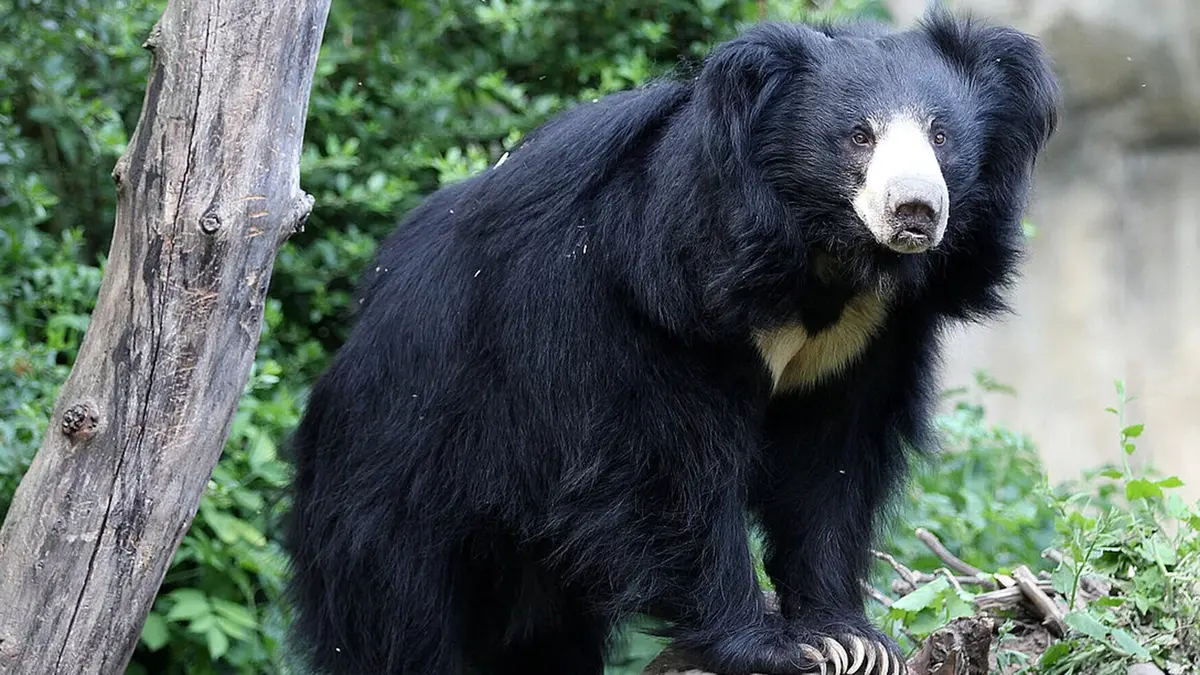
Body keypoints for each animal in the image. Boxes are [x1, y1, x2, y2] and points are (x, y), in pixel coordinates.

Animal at [282, 8, 1059, 675]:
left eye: (941, 137)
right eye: (858, 137)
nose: (915, 211)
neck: (820, 262)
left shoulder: (868, 337)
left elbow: (829, 468)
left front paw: (849, 638)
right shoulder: (649, 305)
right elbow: (668, 472)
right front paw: (772, 645)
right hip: (396, 482)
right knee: (401, 621)